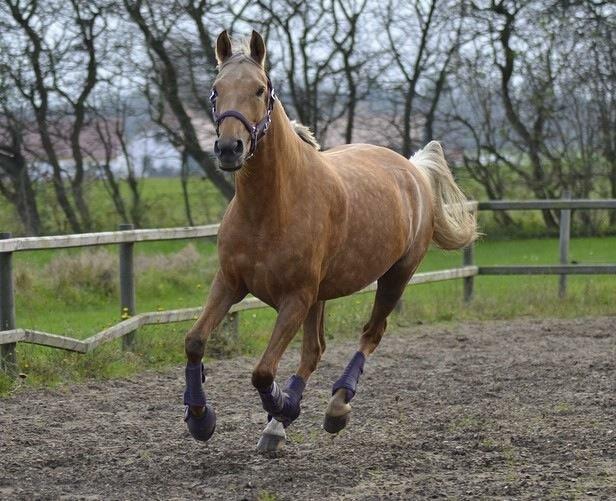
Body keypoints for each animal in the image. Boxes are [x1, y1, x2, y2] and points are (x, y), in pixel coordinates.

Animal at [183, 30, 476, 454]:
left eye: (259, 89)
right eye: (215, 90)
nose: (228, 149)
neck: (270, 208)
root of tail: (413, 169)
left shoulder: (296, 297)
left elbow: (262, 371)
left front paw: (282, 405)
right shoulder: (230, 283)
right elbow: (194, 341)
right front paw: (201, 419)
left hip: (395, 277)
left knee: (370, 334)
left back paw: (334, 407)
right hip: (322, 297)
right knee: (314, 351)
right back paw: (278, 426)